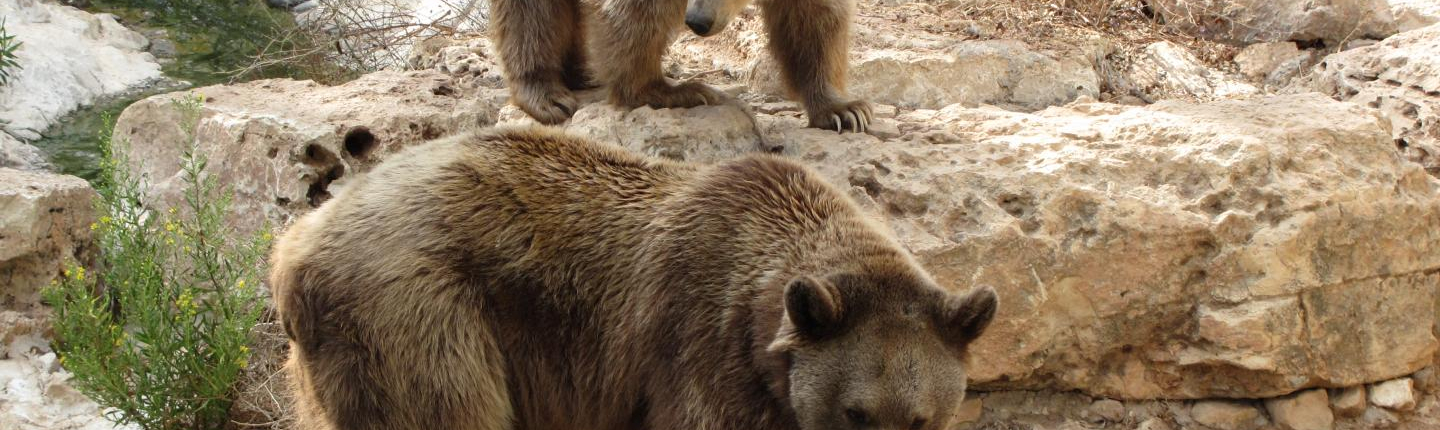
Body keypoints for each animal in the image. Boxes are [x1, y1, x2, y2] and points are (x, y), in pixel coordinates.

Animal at [490, 0, 873, 133]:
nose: (698, 21)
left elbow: (814, 22)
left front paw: (844, 110)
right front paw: (670, 90)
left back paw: (580, 72)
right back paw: (546, 93)